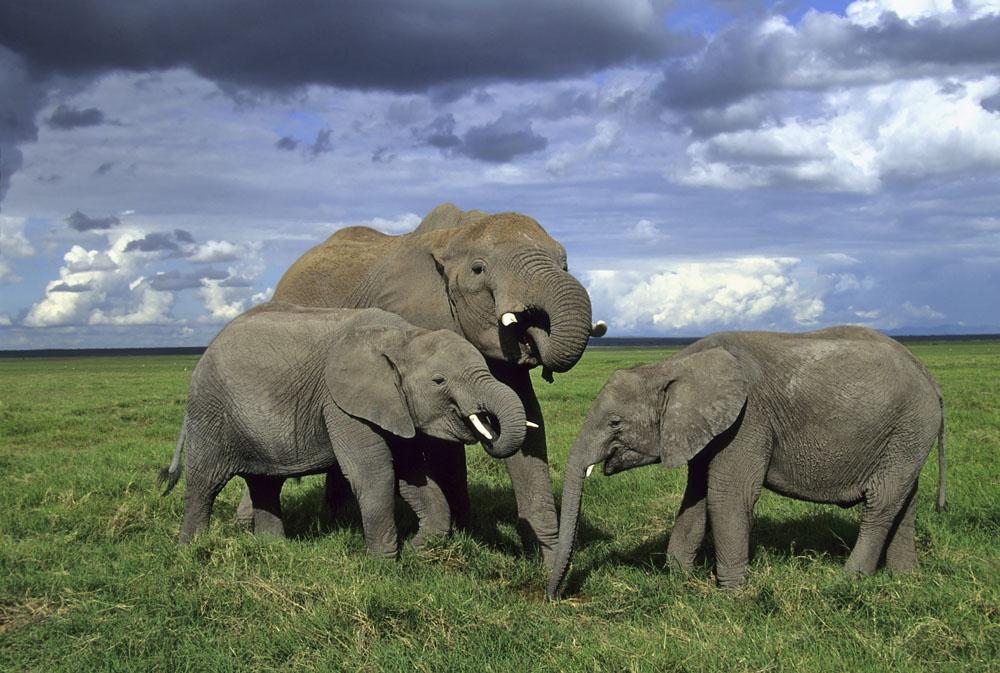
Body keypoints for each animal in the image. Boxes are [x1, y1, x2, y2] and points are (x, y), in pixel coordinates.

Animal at [158, 304, 532, 556]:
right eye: (439, 381)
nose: (488, 424)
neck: (401, 337)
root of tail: (203, 355)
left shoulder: (393, 404)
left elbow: (412, 474)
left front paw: (419, 549)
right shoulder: (340, 403)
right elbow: (374, 473)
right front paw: (383, 563)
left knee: (266, 484)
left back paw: (275, 550)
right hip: (210, 411)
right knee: (205, 484)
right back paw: (190, 551)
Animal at [240, 202, 600, 564]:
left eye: (565, 264)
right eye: (478, 269)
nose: (532, 326)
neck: (453, 238)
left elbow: (528, 420)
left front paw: (545, 561)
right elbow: (439, 438)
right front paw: (458, 536)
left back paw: (337, 516)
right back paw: (249, 524)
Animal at [548, 322, 944, 596]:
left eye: (615, 422)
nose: (554, 596)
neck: (674, 365)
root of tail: (927, 373)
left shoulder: (748, 419)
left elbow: (728, 496)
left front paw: (731, 596)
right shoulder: (704, 427)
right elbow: (696, 497)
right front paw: (677, 579)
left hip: (910, 425)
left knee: (882, 502)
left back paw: (849, 580)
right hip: (906, 436)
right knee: (904, 501)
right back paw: (904, 578)